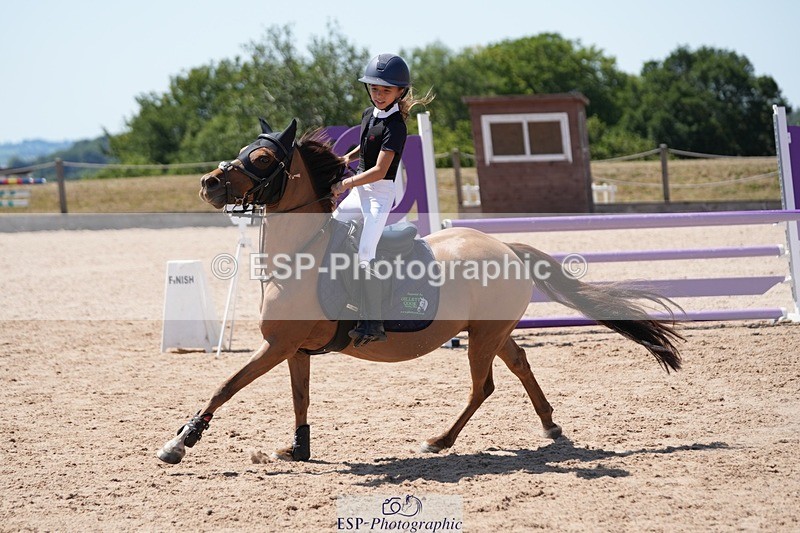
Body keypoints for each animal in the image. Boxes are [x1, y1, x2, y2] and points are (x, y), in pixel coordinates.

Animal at [157, 118, 683, 464]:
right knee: (519, 363)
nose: (208, 183)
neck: (301, 252)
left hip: (482, 336)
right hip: (492, 331)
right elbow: (299, 397)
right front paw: (298, 448)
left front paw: (179, 442)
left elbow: (225, 386)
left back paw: (440, 441)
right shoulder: (294, 348)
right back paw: (550, 426)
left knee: (483, 385)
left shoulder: (276, 345)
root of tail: (505, 246)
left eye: (263, 158)